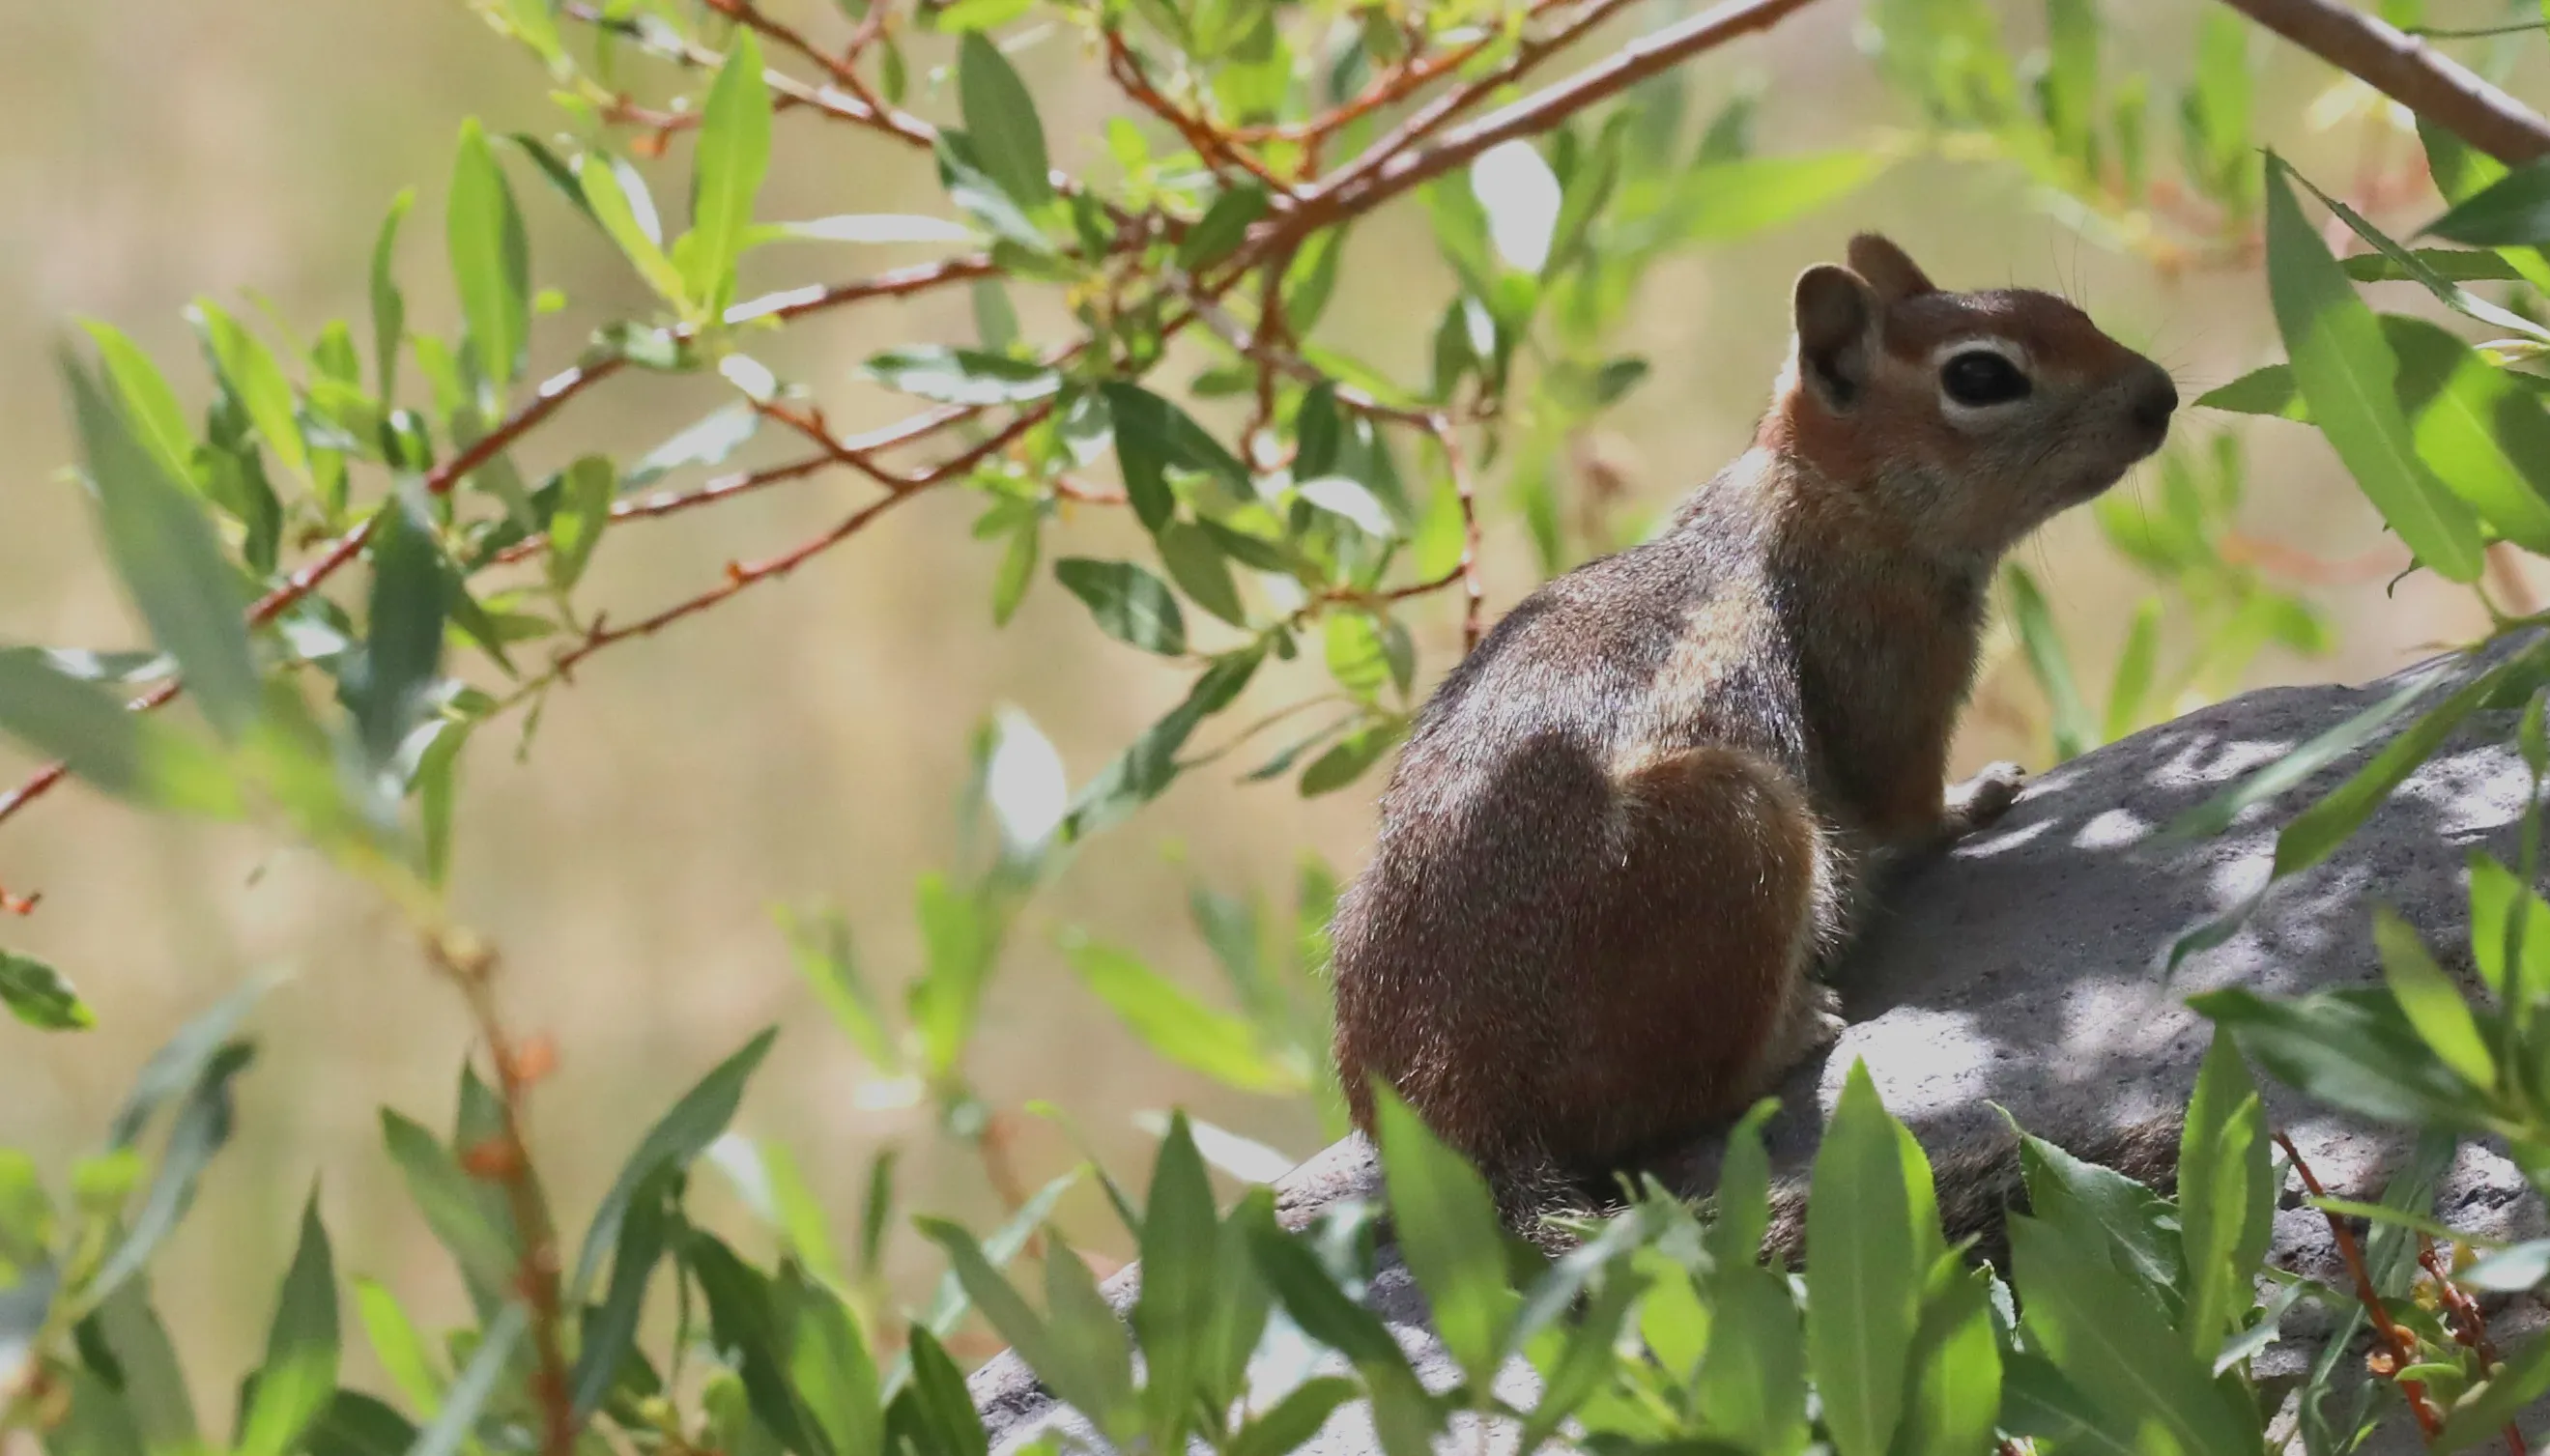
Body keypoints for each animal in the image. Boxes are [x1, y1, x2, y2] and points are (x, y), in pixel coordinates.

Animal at [1329, 233, 2179, 1234]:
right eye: (1980, 376)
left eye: (2069, 309)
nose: (2161, 394)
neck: (1815, 494)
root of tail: (1460, 1118)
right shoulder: (1895, 664)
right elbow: (1908, 801)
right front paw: (1981, 795)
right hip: (1737, 823)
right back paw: (1796, 1029)